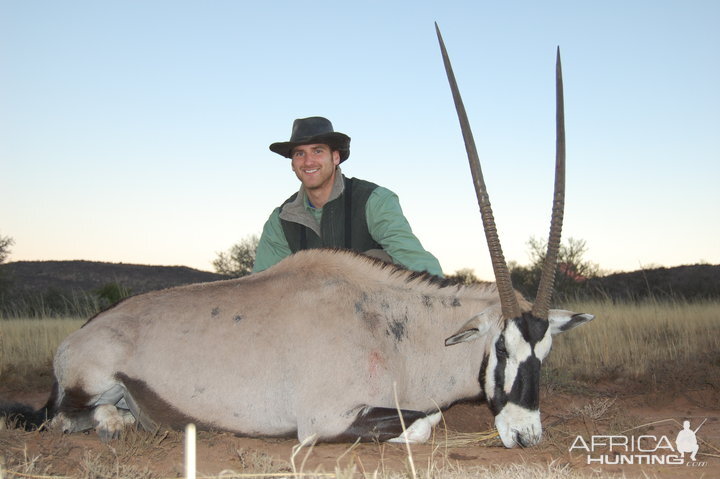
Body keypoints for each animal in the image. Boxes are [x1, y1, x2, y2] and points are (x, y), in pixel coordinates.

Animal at [2, 25, 592, 450]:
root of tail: (76, 337)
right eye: (501, 348)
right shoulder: (326, 420)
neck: (393, 331)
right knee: (68, 418)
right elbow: (425, 423)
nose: (525, 435)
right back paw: (119, 423)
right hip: (91, 381)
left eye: (544, 352)